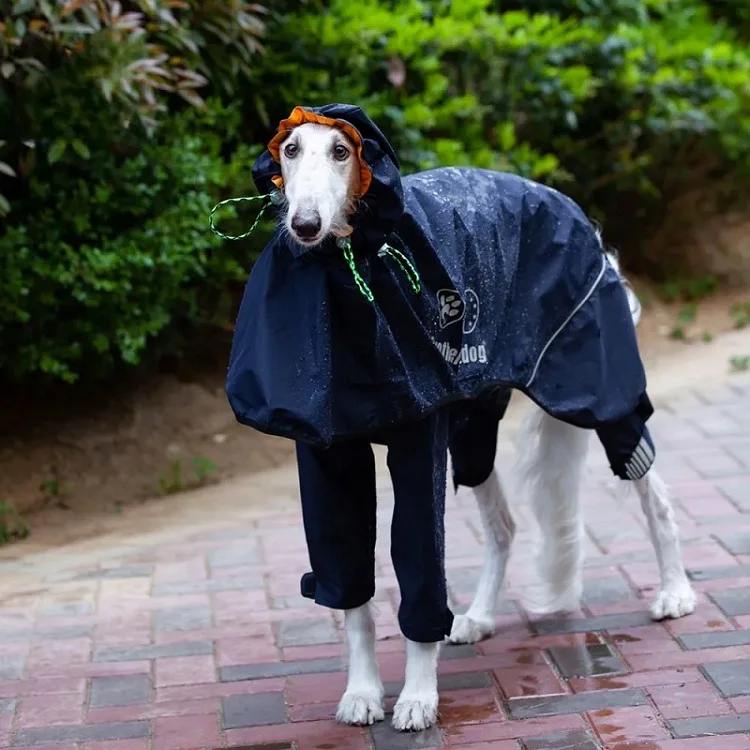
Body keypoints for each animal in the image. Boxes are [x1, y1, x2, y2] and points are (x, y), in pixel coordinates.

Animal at [225, 106, 700, 736]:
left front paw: (417, 697)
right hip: (474, 428)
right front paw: (363, 693)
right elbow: (349, 588)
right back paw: (477, 616)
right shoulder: (328, 456)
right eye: (290, 150)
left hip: (597, 388)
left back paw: (675, 592)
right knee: (504, 527)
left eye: (342, 152)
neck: (349, 269)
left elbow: (422, 569)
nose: (305, 225)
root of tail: (567, 206)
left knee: (652, 490)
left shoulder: (418, 440)